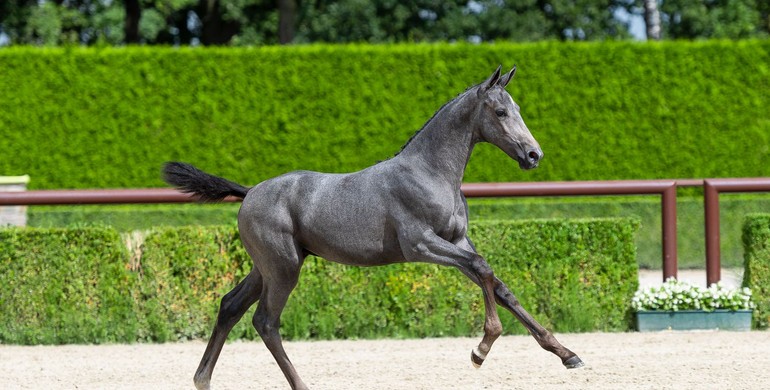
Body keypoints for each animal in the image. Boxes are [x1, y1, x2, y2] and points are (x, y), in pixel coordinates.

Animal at [164, 65, 584, 388]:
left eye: (517, 108)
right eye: (499, 112)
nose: (533, 155)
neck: (430, 173)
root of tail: (249, 192)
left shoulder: (458, 241)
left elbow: (500, 286)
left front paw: (567, 354)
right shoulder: (421, 245)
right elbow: (483, 269)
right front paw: (480, 350)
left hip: (268, 266)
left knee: (230, 305)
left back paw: (202, 379)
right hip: (284, 268)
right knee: (265, 321)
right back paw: (299, 383)